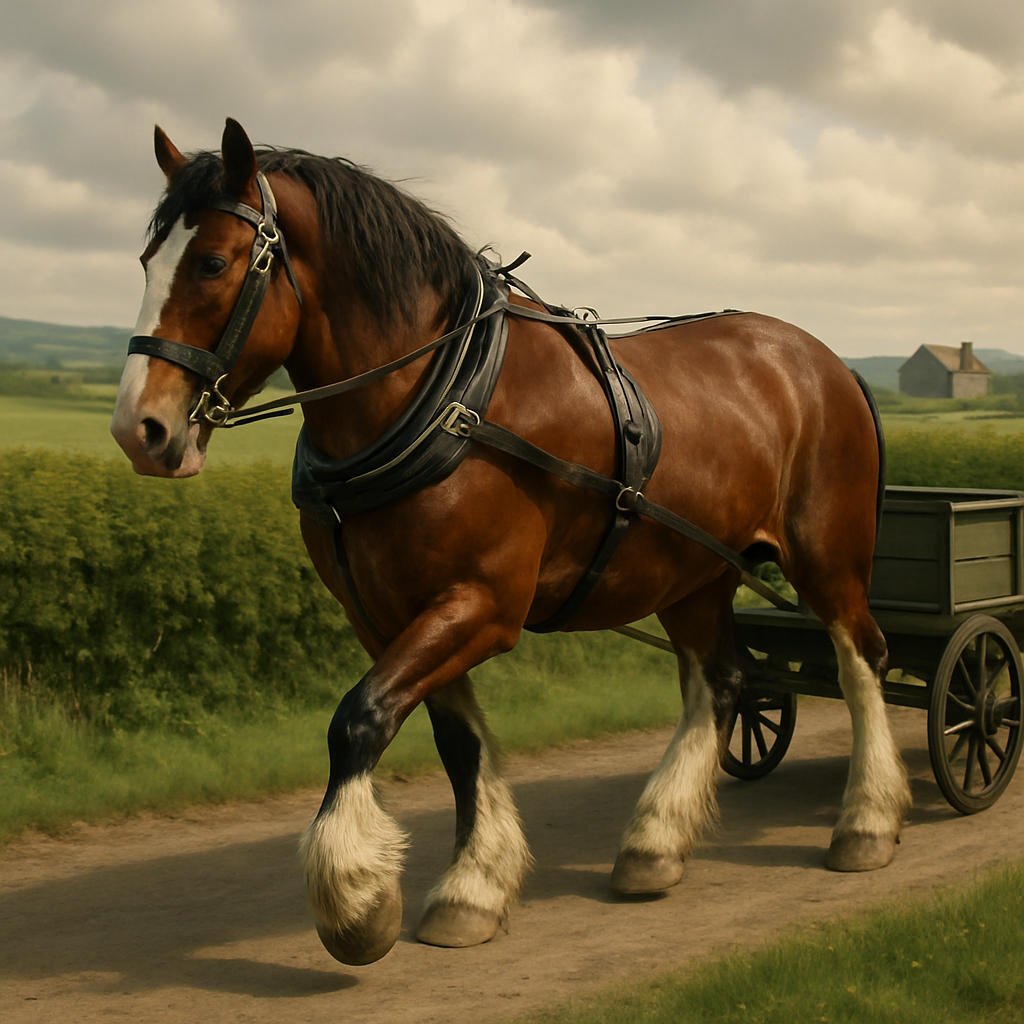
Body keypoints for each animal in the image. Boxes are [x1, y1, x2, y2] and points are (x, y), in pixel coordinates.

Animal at [110, 118, 910, 966]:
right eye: (148, 260)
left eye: (213, 262)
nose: (139, 428)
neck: (441, 396)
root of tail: (827, 360)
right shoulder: (389, 616)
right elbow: (454, 742)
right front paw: (473, 886)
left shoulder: (482, 605)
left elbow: (359, 718)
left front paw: (355, 898)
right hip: (691, 573)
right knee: (720, 682)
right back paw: (653, 845)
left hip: (827, 556)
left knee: (861, 659)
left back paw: (865, 823)